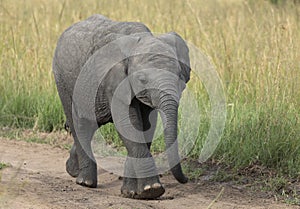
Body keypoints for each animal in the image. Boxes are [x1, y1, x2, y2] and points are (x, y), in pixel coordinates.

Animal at [52, 14, 191, 199]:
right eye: (142, 79)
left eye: (181, 79)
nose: (186, 180)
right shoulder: (115, 80)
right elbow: (128, 124)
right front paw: (152, 190)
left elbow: (146, 126)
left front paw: (131, 192)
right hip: (63, 81)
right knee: (79, 124)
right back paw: (85, 182)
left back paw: (72, 170)